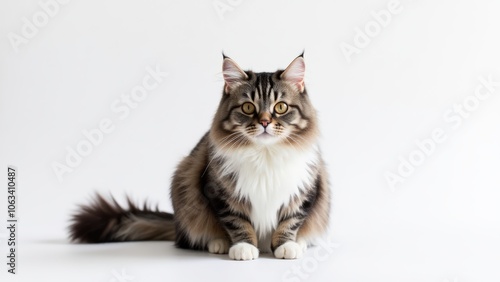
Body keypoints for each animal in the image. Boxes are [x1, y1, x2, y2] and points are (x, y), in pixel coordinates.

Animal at [69, 53, 328, 260]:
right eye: (248, 108)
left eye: (281, 107)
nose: (264, 122)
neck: (264, 154)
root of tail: (176, 226)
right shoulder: (219, 192)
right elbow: (238, 223)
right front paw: (244, 247)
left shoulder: (305, 190)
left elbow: (290, 221)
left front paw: (287, 246)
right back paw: (219, 244)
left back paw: (301, 243)